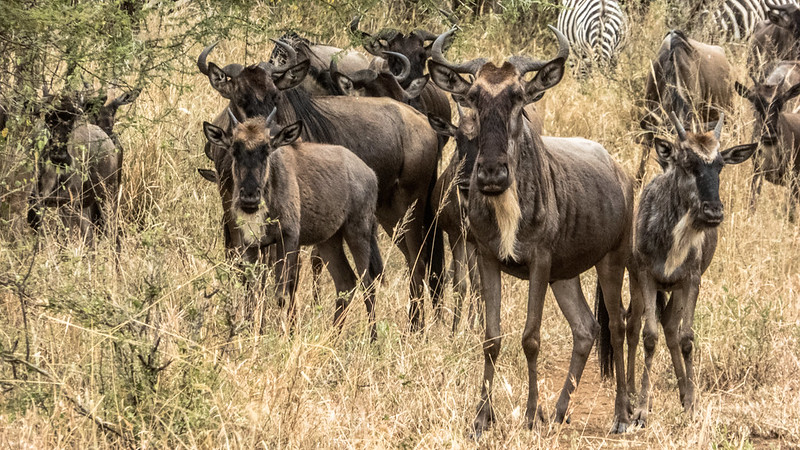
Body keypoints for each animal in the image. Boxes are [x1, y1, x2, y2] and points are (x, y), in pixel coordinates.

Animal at [203, 112, 384, 342]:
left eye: (267, 150)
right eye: (235, 149)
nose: (249, 197)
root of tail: (369, 173)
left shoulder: (288, 238)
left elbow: (282, 294)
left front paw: (284, 337)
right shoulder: (250, 244)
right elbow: (252, 293)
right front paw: (252, 336)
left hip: (358, 232)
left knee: (367, 283)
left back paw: (373, 340)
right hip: (329, 241)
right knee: (346, 282)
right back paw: (332, 339)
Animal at [624, 112, 756, 426]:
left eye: (720, 166)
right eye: (687, 163)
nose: (713, 212)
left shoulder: (692, 279)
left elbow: (686, 338)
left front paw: (693, 405)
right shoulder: (647, 276)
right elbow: (649, 337)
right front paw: (642, 409)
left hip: (676, 288)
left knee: (671, 325)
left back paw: (684, 395)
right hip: (635, 280)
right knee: (632, 325)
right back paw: (632, 393)